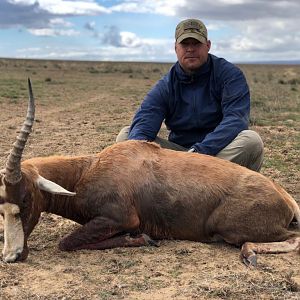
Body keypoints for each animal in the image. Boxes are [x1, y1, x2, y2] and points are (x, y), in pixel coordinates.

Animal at [0, 79, 298, 264]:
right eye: (1, 207)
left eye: (25, 199)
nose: (12, 257)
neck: (88, 170)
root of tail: (284, 197)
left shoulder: (122, 218)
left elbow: (67, 242)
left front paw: (143, 239)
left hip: (232, 229)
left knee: (290, 239)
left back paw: (249, 254)